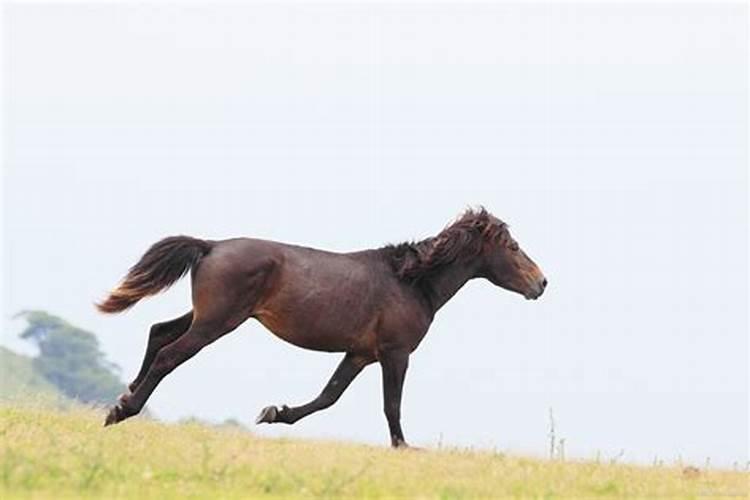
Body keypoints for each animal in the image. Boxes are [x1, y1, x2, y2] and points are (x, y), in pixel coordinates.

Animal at [98, 205, 548, 448]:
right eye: (512, 247)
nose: (541, 283)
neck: (410, 282)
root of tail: (211, 246)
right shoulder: (395, 353)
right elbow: (392, 405)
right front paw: (404, 447)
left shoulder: (359, 354)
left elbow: (327, 397)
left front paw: (273, 413)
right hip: (217, 322)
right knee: (170, 353)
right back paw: (122, 411)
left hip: (207, 316)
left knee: (159, 331)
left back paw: (124, 397)